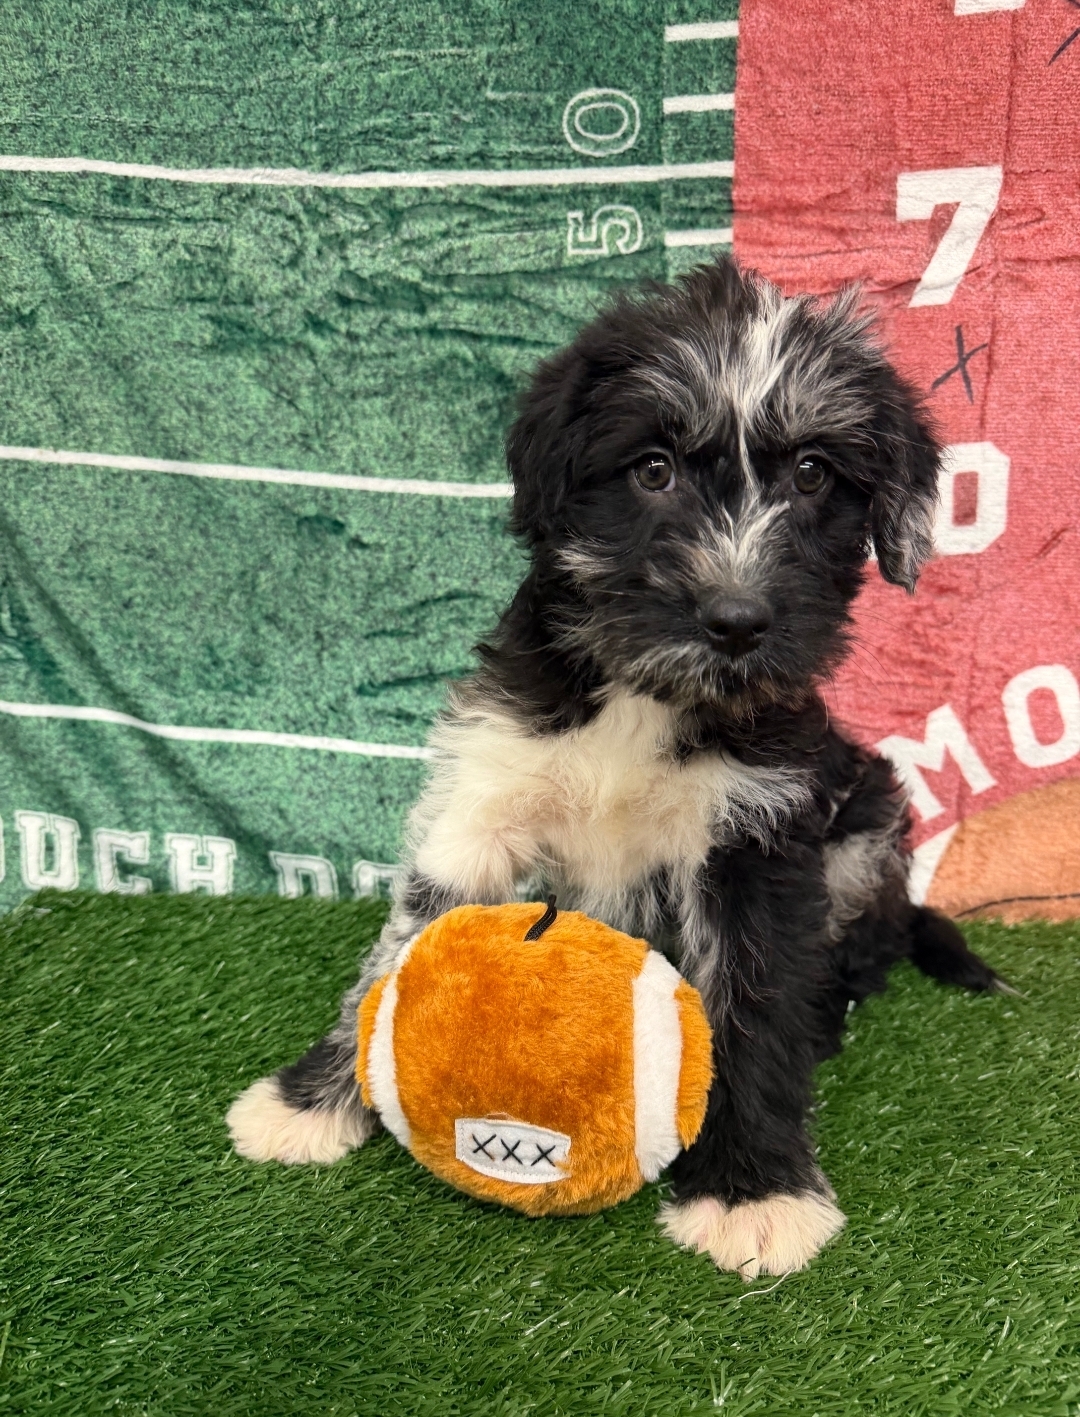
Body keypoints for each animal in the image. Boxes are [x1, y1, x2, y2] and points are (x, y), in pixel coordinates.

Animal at [228, 257, 1003, 1279]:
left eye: (812, 473)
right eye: (652, 469)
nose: (738, 620)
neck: (645, 691)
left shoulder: (759, 833)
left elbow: (756, 998)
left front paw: (754, 1187)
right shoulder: (486, 786)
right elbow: (396, 956)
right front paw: (313, 1098)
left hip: (863, 820)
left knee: (858, 951)